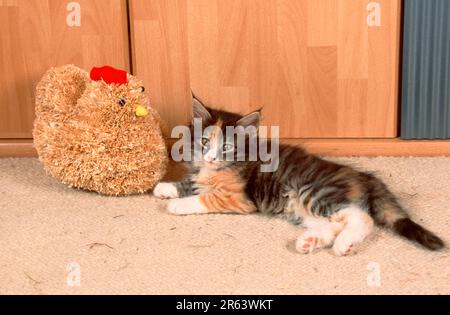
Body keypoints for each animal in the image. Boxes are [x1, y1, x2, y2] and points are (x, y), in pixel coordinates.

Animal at [154, 96, 442, 256]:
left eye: (226, 147)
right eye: (204, 142)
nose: (211, 157)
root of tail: (361, 175)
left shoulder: (238, 199)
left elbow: (204, 198)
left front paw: (176, 204)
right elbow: (191, 184)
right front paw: (165, 188)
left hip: (313, 193)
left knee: (362, 218)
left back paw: (343, 245)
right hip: (301, 209)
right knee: (334, 223)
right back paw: (310, 241)